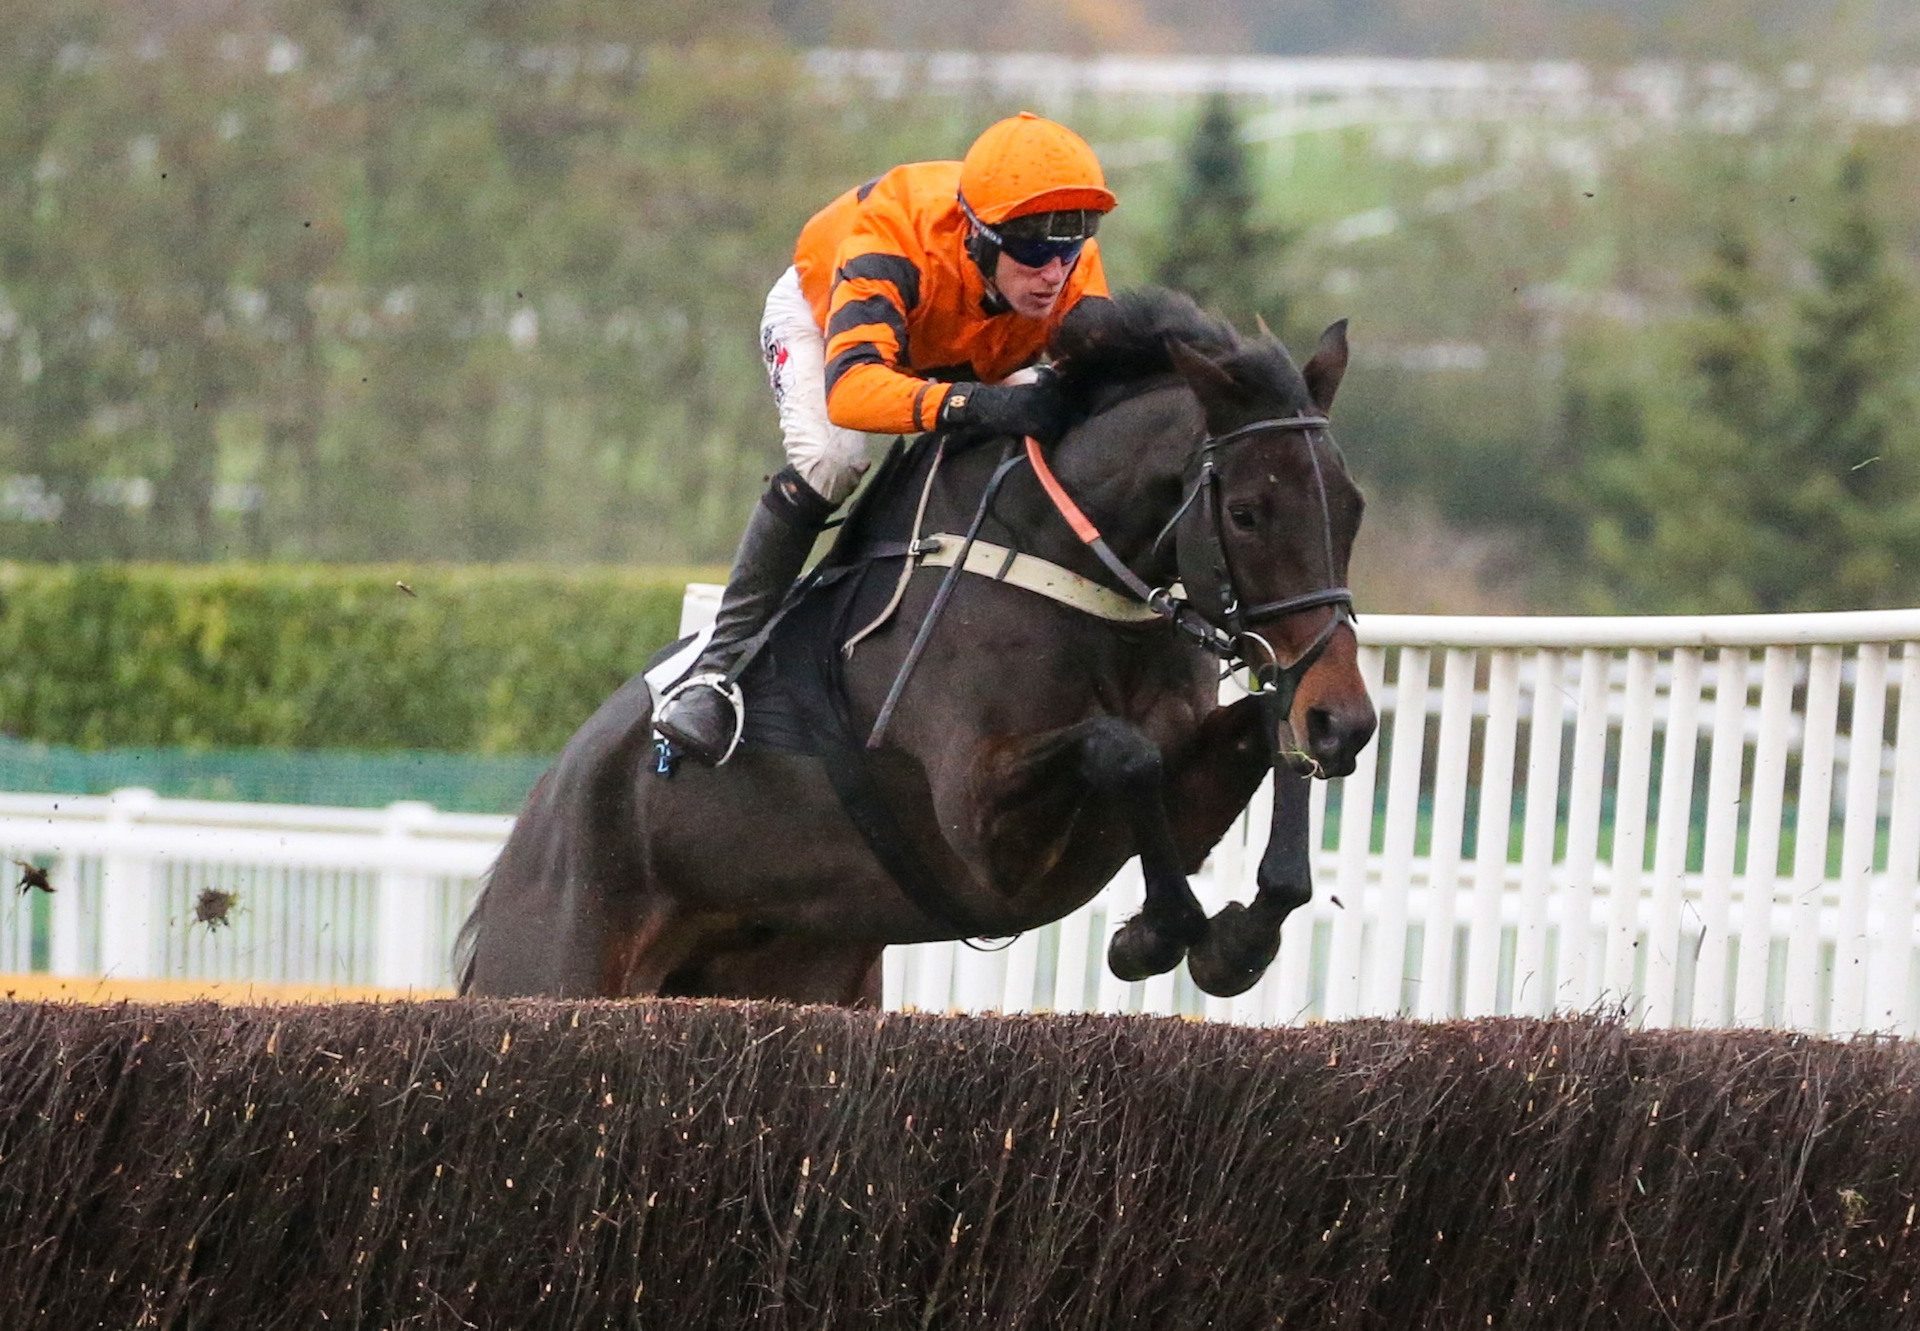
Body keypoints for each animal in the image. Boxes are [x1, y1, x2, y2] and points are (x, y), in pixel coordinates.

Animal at [456, 288, 1374, 998]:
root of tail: (537, 814)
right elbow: (1123, 751)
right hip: (555, 970)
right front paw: (1159, 930)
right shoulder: (981, 830)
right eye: (1248, 513)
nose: (1346, 719)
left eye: (1352, 504)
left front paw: (1238, 937)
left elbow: (1260, 735)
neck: (1067, 567)